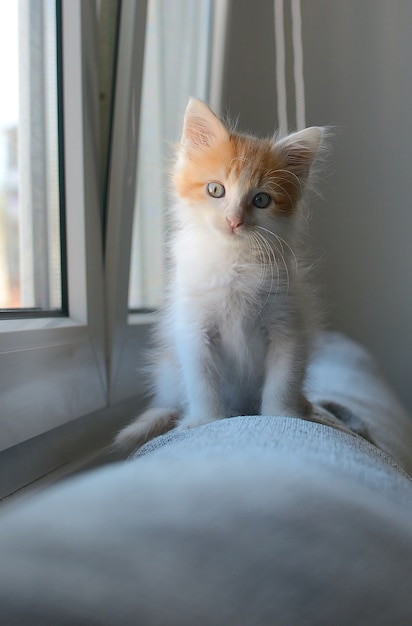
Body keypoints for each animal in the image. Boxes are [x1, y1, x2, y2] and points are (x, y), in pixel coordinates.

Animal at [115, 96, 326, 448]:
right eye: (216, 190)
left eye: (261, 199)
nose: (234, 220)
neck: (234, 260)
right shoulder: (193, 328)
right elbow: (202, 380)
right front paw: (205, 420)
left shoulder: (287, 325)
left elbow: (282, 380)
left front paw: (281, 416)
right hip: (169, 370)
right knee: (171, 400)